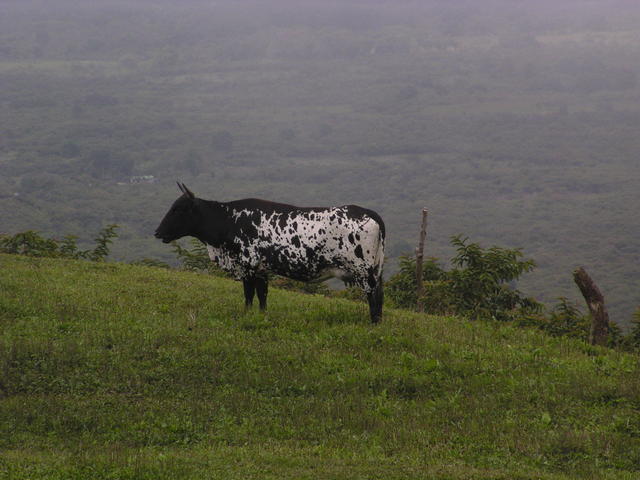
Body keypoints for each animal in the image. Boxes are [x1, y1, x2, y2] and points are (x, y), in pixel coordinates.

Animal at [154, 183, 385, 323]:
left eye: (178, 209)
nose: (157, 232)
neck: (229, 220)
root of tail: (369, 213)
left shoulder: (247, 266)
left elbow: (248, 294)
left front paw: (247, 315)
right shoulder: (261, 269)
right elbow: (262, 295)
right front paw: (261, 316)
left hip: (364, 271)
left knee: (373, 297)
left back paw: (373, 324)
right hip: (376, 269)